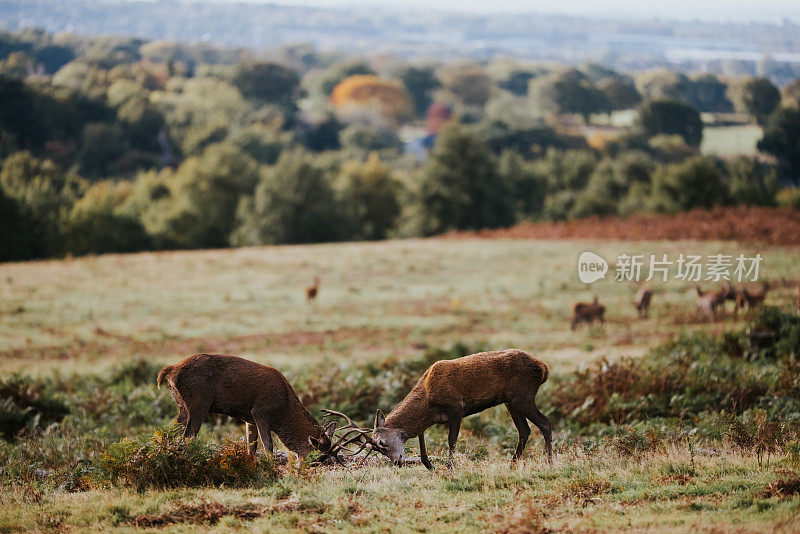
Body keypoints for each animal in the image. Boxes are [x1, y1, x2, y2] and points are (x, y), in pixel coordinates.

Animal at [158, 354, 376, 462]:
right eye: (319, 456)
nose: (337, 463)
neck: (283, 410)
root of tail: (171, 371)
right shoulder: (260, 411)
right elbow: (268, 444)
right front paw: (270, 465)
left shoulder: (248, 418)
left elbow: (251, 446)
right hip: (198, 402)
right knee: (187, 437)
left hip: (181, 405)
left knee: (170, 431)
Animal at [368, 352, 552, 474]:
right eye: (377, 449)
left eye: (381, 443)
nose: (397, 462)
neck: (427, 401)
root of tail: (544, 369)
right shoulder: (428, 420)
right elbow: (422, 441)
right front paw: (430, 465)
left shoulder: (456, 408)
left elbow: (452, 440)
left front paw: (451, 467)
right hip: (511, 401)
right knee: (524, 430)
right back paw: (512, 465)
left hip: (522, 396)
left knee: (545, 423)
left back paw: (549, 462)